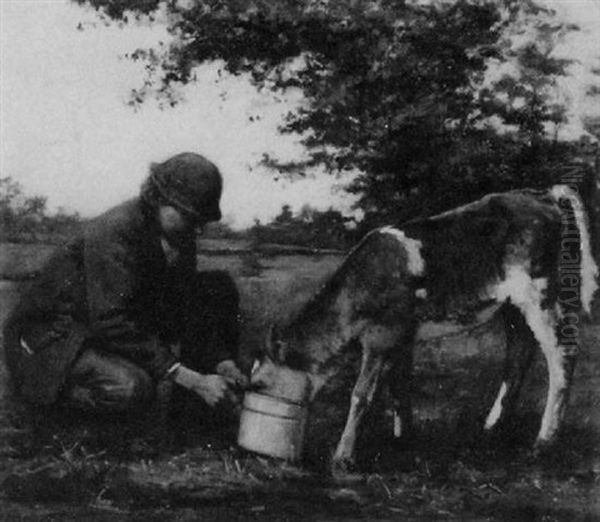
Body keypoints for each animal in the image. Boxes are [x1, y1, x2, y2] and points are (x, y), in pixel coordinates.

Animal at [250, 185, 596, 470]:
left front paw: (344, 458)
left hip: (543, 294)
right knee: (519, 356)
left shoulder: (382, 334)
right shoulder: (402, 336)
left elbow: (362, 394)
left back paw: (544, 442)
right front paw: (402, 439)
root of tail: (543, 196)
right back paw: (491, 429)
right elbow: (399, 388)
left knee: (562, 356)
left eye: (258, 384)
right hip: (513, 306)